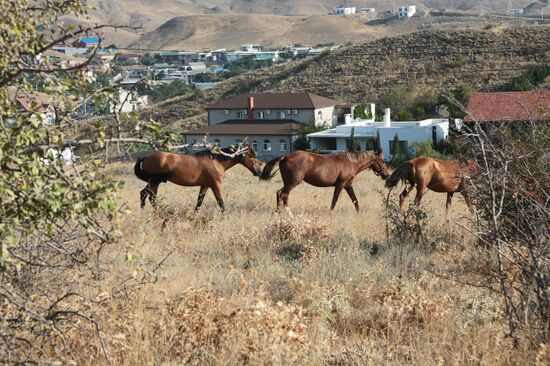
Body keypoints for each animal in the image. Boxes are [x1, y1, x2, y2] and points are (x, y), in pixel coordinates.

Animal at [134, 144, 264, 212]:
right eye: (252, 157)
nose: (259, 172)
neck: (216, 161)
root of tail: (146, 156)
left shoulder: (205, 185)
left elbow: (199, 202)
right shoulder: (215, 185)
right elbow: (220, 202)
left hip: (154, 183)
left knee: (146, 195)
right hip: (154, 182)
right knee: (149, 196)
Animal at [260, 151, 392, 216]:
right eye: (382, 161)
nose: (386, 175)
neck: (351, 163)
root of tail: (285, 157)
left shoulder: (348, 185)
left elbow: (355, 200)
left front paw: (359, 214)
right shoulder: (340, 184)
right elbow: (334, 200)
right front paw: (330, 213)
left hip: (288, 183)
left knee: (281, 194)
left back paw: (280, 213)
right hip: (292, 182)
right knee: (282, 194)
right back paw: (286, 214)